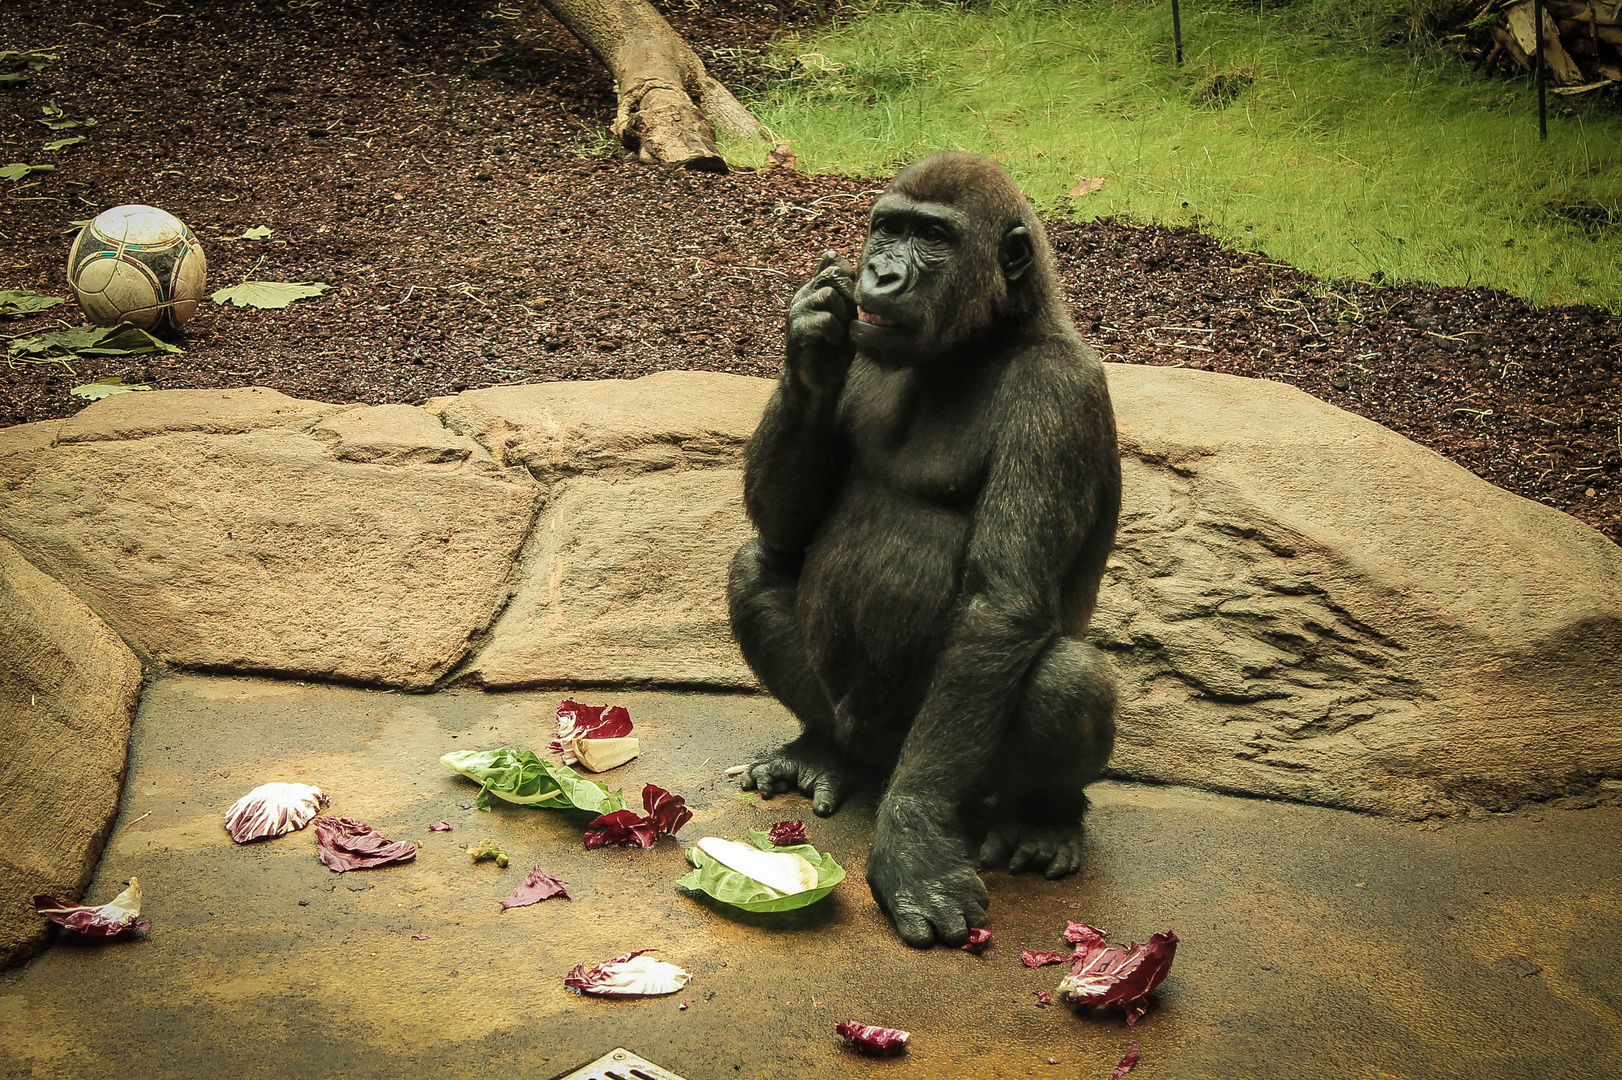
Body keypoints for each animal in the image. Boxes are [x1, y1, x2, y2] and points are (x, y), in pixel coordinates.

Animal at [729, 149, 1122, 940]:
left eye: (932, 239)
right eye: (887, 228)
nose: (880, 275)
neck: (988, 335)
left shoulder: (1059, 396)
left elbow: (1001, 605)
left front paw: (911, 839)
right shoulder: (866, 340)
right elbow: (784, 527)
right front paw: (809, 335)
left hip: (952, 776)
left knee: (1067, 676)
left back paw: (1045, 819)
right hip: (858, 733)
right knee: (756, 565)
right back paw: (820, 749)